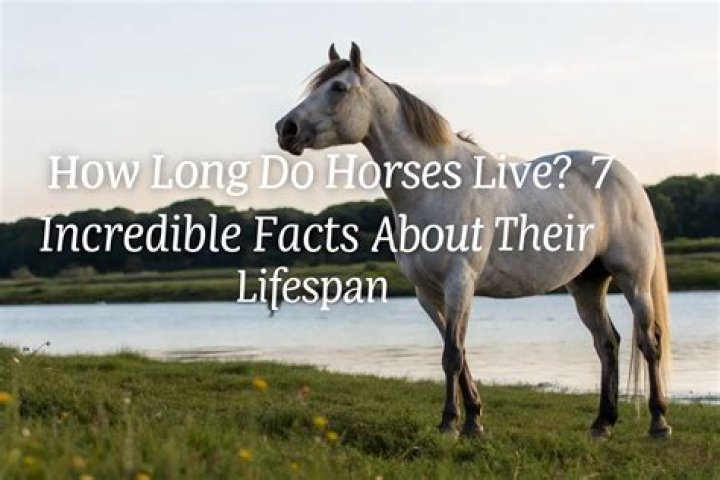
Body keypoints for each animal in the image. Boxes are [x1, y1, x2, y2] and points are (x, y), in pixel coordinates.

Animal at [275, 43, 672, 439]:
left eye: (338, 88)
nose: (285, 128)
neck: (435, 188)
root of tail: (628, 178)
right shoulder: (427, 292)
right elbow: (458, 352)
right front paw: (473, 420)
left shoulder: (459, 283)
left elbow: (452, 354)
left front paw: (451, 423)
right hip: (587, 283)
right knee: (607, 343)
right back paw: (602, 423)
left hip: (634, 281)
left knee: (648, 342)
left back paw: (658, 423)